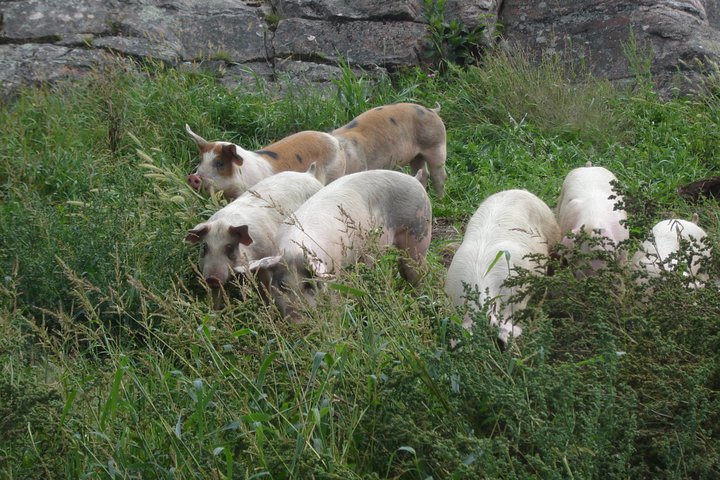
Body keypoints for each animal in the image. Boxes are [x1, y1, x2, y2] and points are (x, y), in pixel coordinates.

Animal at [246, 169, 433, 319]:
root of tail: (414, 179)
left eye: (309, 285)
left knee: (417, 271)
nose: (298, 320)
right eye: (282, 286)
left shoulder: (334, 271)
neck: (296, 249)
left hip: (419, 233)